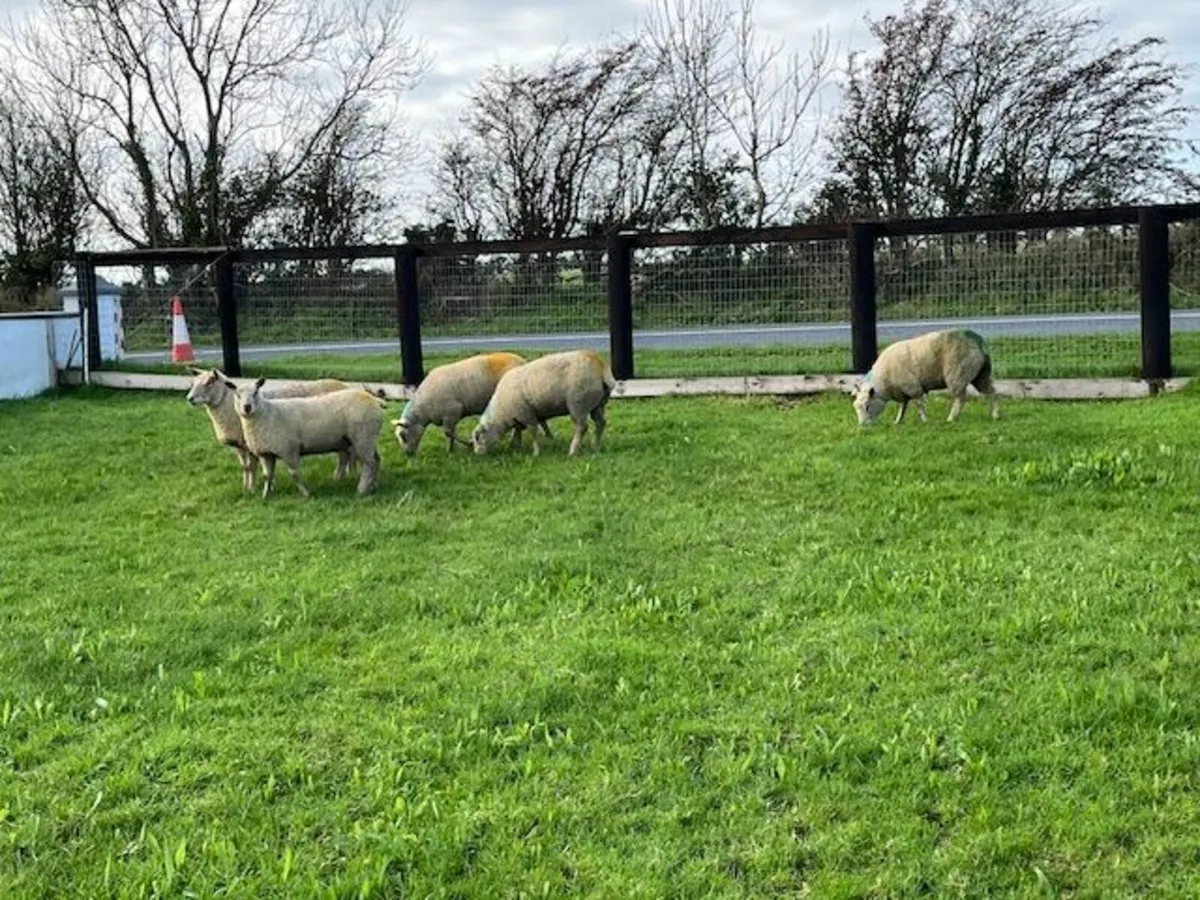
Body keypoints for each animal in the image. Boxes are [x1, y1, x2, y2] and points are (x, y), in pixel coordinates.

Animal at [184, 367, 354, 491]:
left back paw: (341, 476)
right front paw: (246, 487)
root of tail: (345, 385)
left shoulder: (251, 444)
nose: (190, 399)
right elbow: (245, 467)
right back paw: (343, 476)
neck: (227, 407)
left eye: (209, 382)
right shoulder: (240, 445)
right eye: (193, 383)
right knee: (345, 454)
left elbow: (252, 467)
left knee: (344, 455)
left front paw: (253, 488)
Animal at [232, 378, 385, 498]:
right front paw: (266, 495)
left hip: (363, 438)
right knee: (376, 460)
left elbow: (295, 474)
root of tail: (374, 399)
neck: (266, 414)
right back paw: (373, 485)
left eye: (255, 392)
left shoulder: (289, 450)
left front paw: (306, 494)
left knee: (369, 464)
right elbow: (267, 476)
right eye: (237, 395)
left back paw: (361, 490)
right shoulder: (265, 453)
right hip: (368, 438)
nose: (247, 407)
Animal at [391, 352, 552, 455]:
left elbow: (448, 432)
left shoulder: (452, 411)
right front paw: (450, 449)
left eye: (403, 435)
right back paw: (547, 435)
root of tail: (522, 361)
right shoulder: (449, 416)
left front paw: (464, 445)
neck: (423, 409)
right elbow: (449, 433)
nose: (408, 455)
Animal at [471, 350, 615, 457]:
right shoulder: (520, 416)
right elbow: (519, 432)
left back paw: (573, 451)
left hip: (578, 404)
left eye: (478, 437)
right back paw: (596, 446)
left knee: (582, 427)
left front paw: (535, 452)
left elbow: (533, 431)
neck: (501, 412)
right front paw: (515, 448)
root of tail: (599, 364)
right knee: (601, 423)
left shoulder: (526, 414)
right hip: (597, 404)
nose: (477, 454)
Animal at [852, 329, 1000, 425]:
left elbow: (919, 404)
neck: (883, 382)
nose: (863, 426)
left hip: (957, 375)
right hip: (981, 375)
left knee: (960, 399)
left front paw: (924, 420)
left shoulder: (913, 387)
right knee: (992, 392)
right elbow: (903, 407)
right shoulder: (904, 392)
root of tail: (978, 341)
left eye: (867, 406)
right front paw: (898, 421)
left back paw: (951, 418)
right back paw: (995, 415)